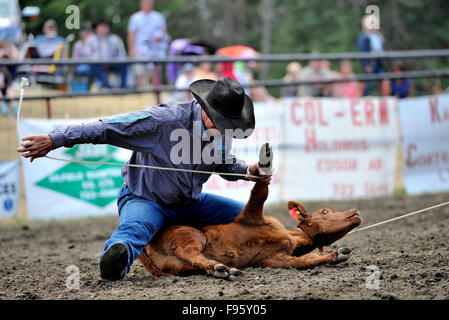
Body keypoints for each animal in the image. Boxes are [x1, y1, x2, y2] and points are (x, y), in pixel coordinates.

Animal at [138, 181, 362, 278]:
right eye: (325, 211)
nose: (356, 211)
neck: (290, 237)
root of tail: (146, 246)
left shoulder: (273, 259)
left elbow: (305, 261)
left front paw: (336, 255)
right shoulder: (252, 214)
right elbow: (260, 193)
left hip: (177, 266)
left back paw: (223, 269)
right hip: (189, 234)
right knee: (189, 251)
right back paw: (218, 267)